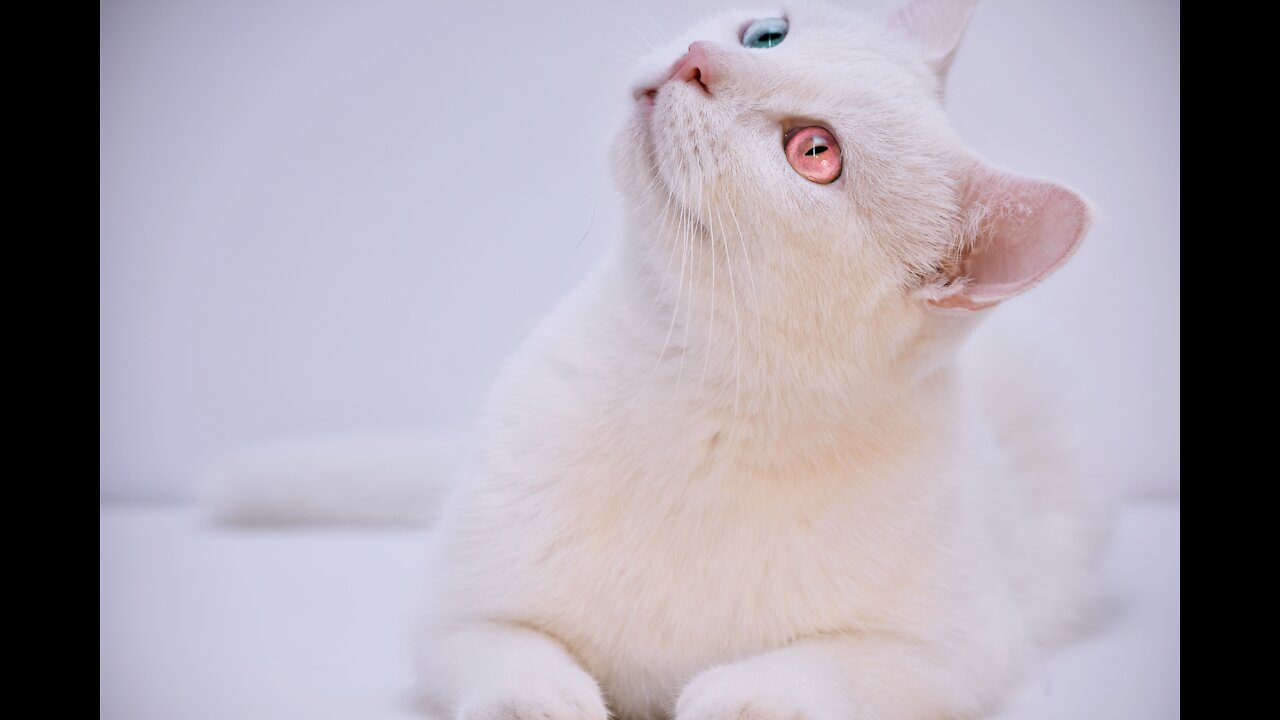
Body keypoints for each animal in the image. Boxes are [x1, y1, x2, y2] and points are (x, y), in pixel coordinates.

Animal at [204, 1, 1116, 717]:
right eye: (768, 32)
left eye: (815, 153)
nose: (698, 59)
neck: (688, 401)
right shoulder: (452, 613)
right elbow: (508, 651)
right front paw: (548, 701)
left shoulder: (961, 651)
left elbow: (823, 669)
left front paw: (735, 696)